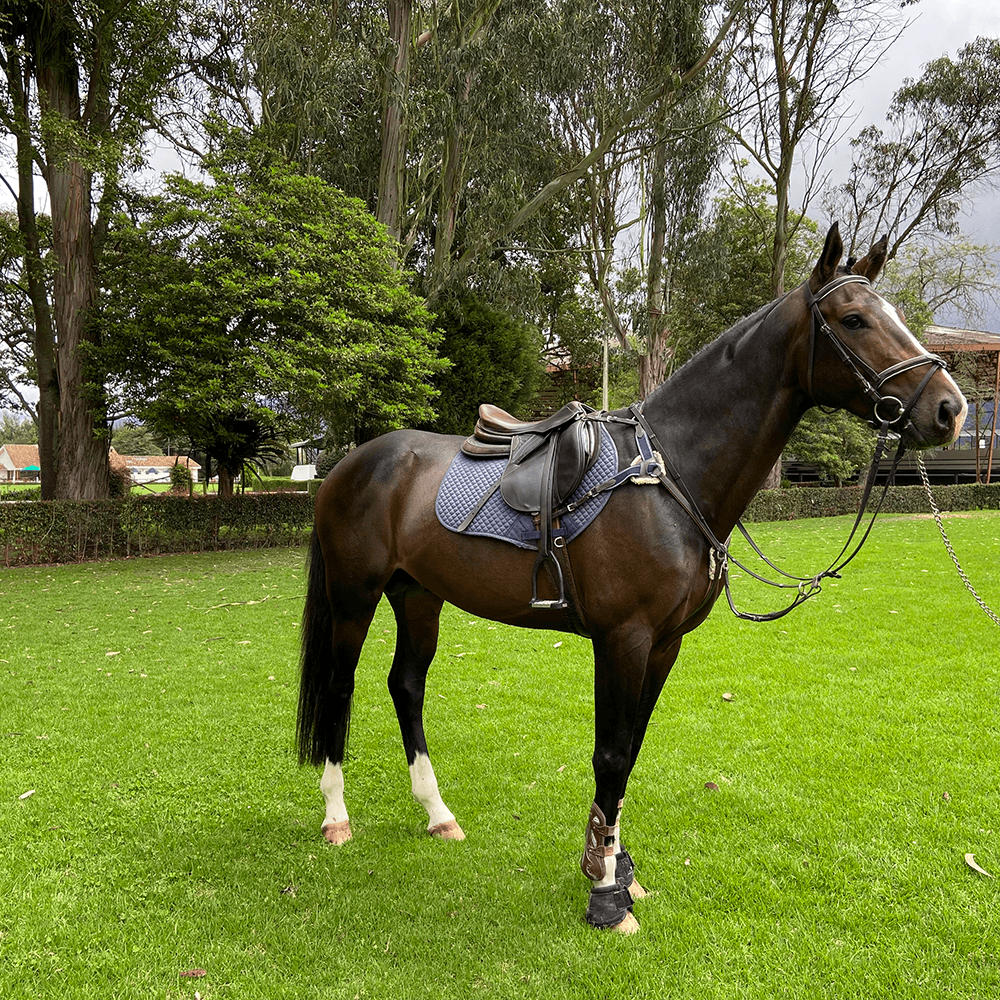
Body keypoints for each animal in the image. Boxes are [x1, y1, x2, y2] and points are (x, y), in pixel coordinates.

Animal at [296, 224, 967, 933]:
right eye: (854, 319)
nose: (950, 410)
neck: (670, 476)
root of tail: (350, 465)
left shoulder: (665, 643)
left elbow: (632, 748)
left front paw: (615, 866)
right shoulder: (624, 638)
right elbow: (611, 754)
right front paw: (605, 892)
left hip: (419, 596)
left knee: (406, 686)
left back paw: (437, 813)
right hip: (354, 597)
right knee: (340, 687)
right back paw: (336, 817)